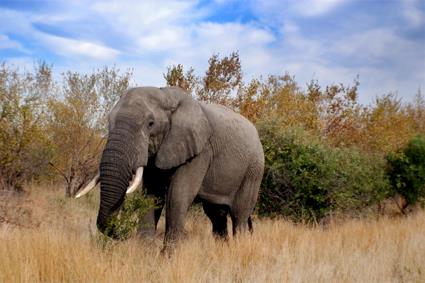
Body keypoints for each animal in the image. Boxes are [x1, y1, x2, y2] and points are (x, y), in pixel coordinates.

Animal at [74, 86, 264, 248]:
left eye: (150, 123)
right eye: (108, 121)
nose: (123, 234)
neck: (165, 95)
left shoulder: (200, 151)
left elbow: (178, 197)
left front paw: (166, 258)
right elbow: (151, 194)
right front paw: (144, 254)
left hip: (253, 171)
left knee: (239, 215)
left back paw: (239, 249)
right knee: (217, 215)